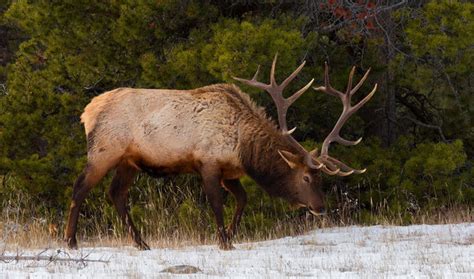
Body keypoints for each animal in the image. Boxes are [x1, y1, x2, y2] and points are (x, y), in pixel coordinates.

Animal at [65, 55, 378, 250]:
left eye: (322, 179)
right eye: (306, 178)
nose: (320, 207)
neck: (243, 149)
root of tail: (86, 112)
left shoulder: (230, 172)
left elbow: (242, 199)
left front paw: (231, 235)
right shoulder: (208, 162)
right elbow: (216, 203)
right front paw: (223, 241)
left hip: (129, 161)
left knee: (116, 194)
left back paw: (141, 243)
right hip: (104, 150)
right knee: (80, 188)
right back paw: (71, 241)